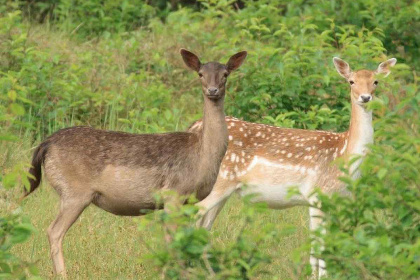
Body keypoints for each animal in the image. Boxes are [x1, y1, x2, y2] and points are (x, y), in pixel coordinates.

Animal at [24, 49, 248, 276]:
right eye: (200, 74)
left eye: (225, 74)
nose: (213, 90)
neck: (202, 155)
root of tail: (46, 144)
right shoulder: (174, 192)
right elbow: (171, 242)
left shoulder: (190, 200)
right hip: (74, 192)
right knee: (54, 231)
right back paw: (62, 274)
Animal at [190, 57, 398, 278]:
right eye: (351, 81)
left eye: (376, 81)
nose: (365, 97)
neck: (344, 154)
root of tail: (193, 127)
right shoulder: (319, 193)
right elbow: (320, 243)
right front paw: (321, 276)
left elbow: (316, 241)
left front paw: (313, 274)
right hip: (218, 183)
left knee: (204, 225)